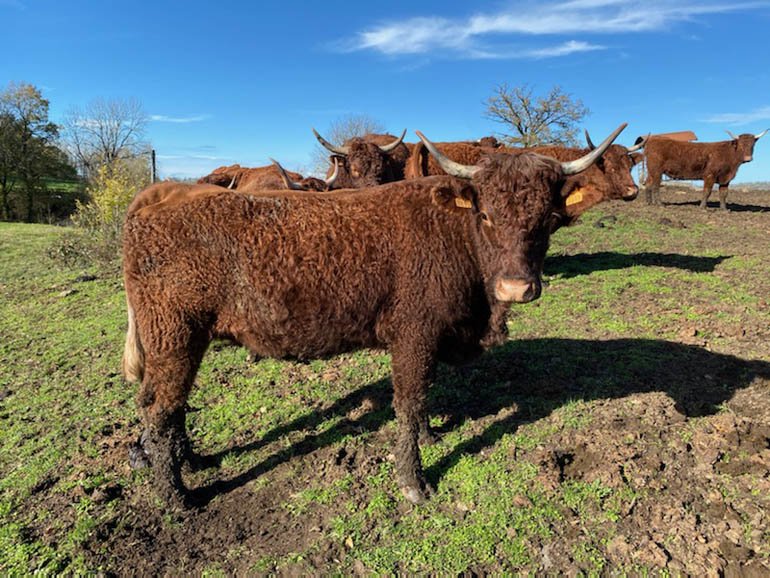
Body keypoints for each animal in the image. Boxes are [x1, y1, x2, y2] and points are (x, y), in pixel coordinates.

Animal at [121, 124, 626, 509]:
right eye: (484, 214)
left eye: (546, 219)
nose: (516, 288)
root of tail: (151, 208)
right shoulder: (413, 334)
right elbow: (409, 400)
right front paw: (414, 482)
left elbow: (423, 396)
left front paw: (431, 437)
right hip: (174, 337)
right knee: (160, 409)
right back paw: (178, 496)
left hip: (181, 342)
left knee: (168, 404)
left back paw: (191, 462)